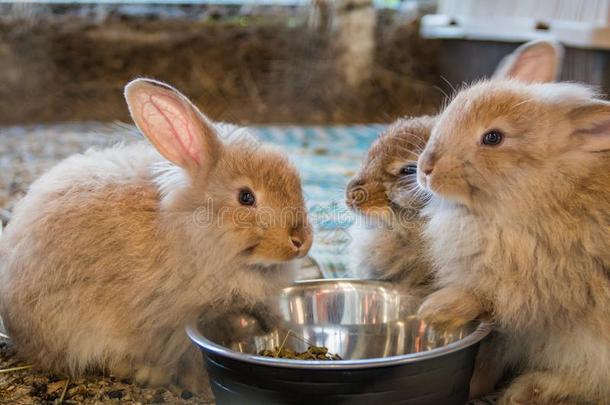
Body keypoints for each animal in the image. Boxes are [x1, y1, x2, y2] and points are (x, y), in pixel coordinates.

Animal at [416, 79, 608, 404]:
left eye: (493, 137)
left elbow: (486, 296)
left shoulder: (538, 283)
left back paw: (523, 392)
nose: (425, 168)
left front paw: (436, 312)